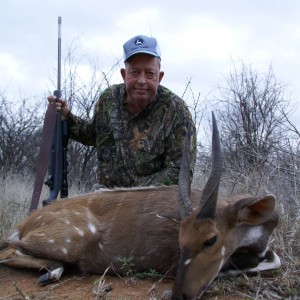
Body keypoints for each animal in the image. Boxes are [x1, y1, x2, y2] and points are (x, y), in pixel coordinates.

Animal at [0, 113, 282, 300]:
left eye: (210, 239)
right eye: (181, 240)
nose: (179, 294)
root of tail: (26, 222)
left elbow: (272, 259)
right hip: (70, 241)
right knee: (9, 249)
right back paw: (51, 272)